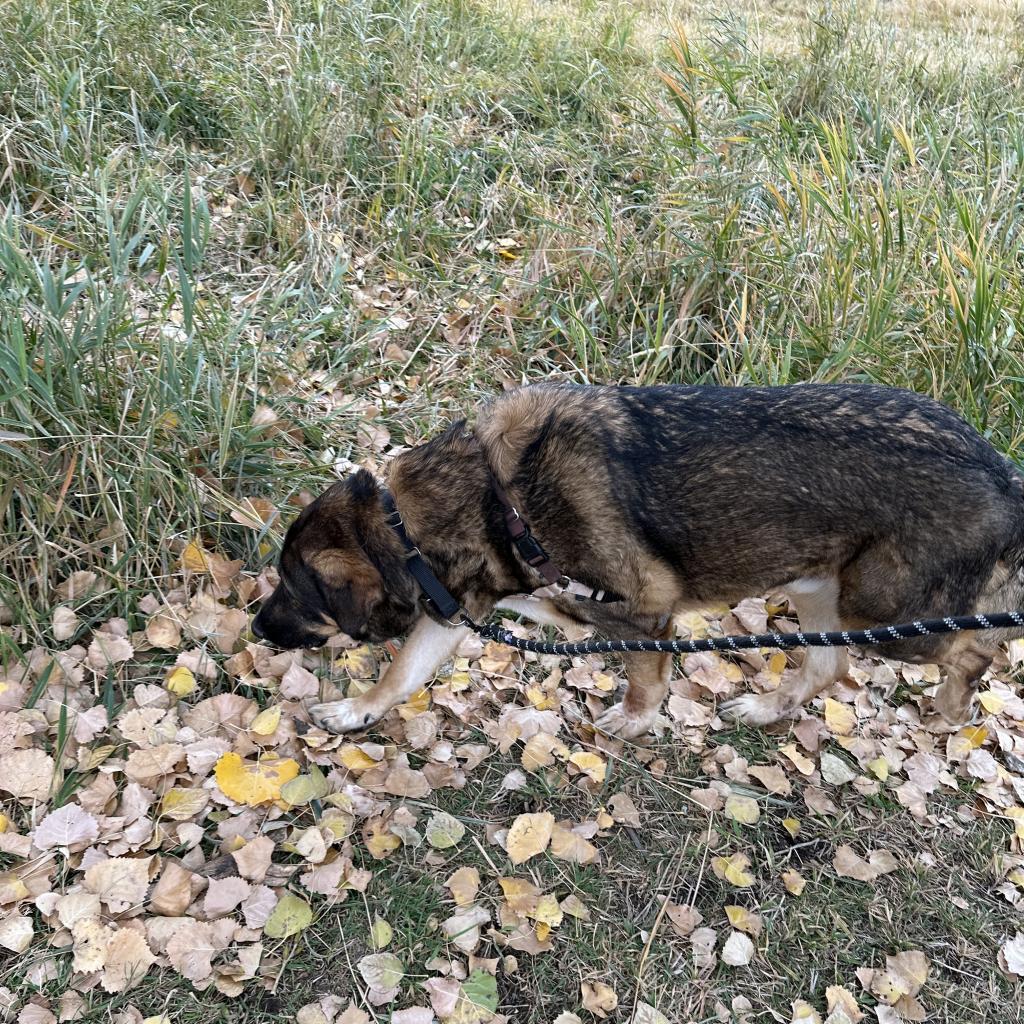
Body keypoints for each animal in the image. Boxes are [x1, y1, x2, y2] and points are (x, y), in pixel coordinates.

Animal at [247, 380, 1024, 733]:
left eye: (293, 592)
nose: (254, 628)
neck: (493, 501)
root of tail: (1002, 471)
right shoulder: (452, 609)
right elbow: (400, 674)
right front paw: (357, 711)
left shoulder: (648, 607)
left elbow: (645, 672)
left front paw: (635, 718)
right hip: (818, 589)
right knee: (828, 666)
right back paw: (765, 706)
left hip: (884, 613)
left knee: (974, 648)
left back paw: (952, 706)